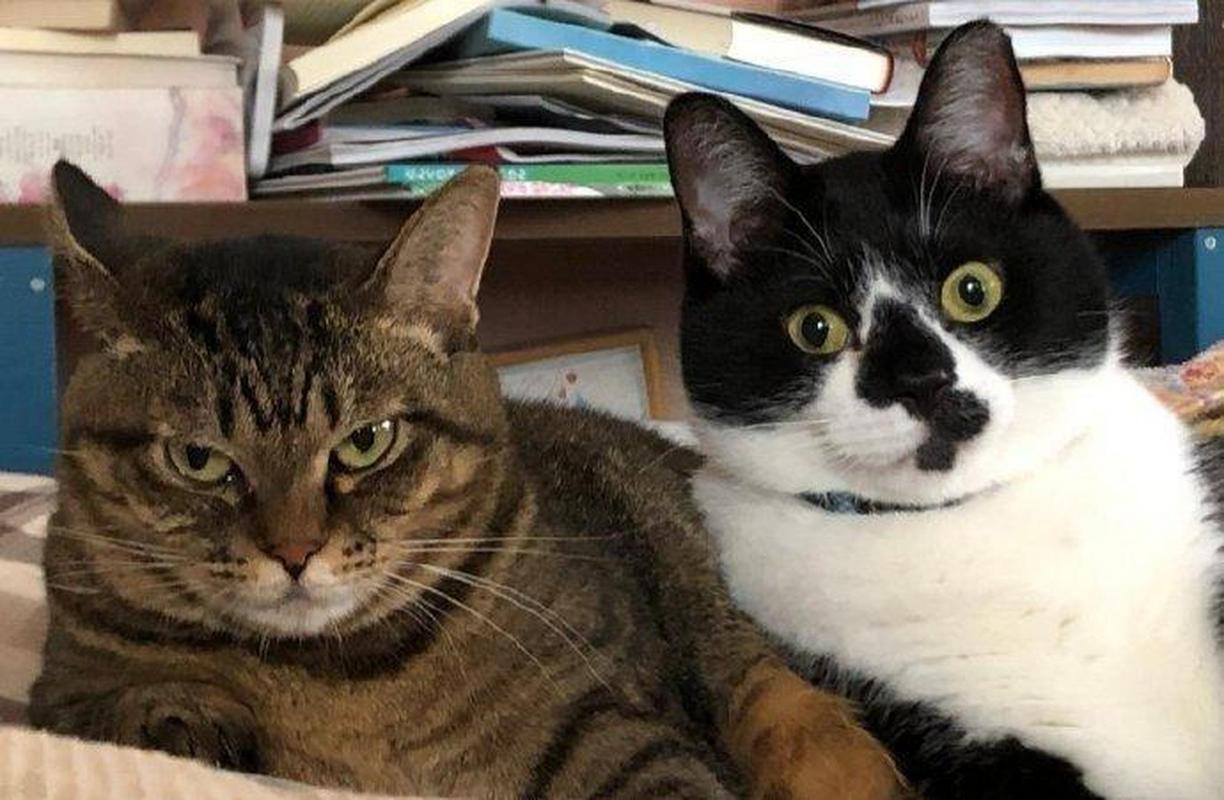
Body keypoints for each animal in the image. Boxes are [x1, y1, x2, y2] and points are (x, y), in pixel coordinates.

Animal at [28, 161, 903, 800]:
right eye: (198, 459)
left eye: (366, 443)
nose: (295, 553)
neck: (337, 680)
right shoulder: (58, 689)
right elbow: (111, 707)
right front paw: (188, 719)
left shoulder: (620, 727)